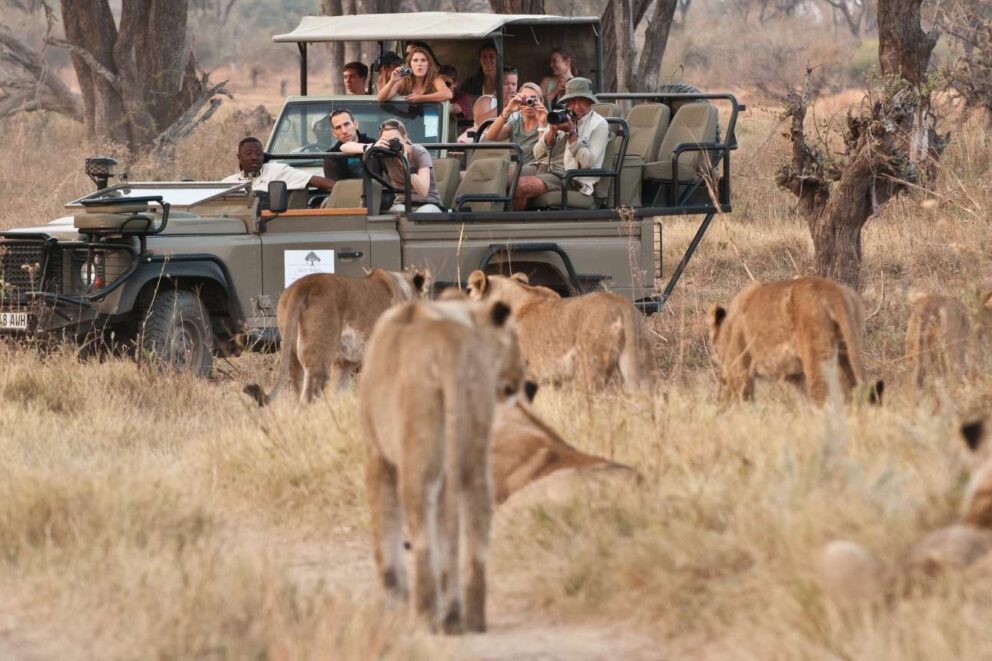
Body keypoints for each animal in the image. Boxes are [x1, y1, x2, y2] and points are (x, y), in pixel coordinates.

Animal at [244, 269, 427, 406]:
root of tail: (305, 284)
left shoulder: (342, 364)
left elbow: (339, 395)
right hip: (319, 360)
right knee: (306, 401)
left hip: (293, 357)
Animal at [359, 297, 524, 634]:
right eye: (513, 337)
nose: (522, 379)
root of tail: (450, 347)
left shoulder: (378, 457)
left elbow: (386, 531)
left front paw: (393, 602)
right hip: (474, 454)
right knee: (475, 529)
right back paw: (469, 619)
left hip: (417, 456)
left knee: (423, 539)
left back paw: (426, 616)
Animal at [708, 277, 881, 405]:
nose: (722, 377)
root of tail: (832, 291)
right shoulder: (798, 376)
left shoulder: (739, 372)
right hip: (847, 351)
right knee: (852, 393)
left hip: (816, 358)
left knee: (823, 397)